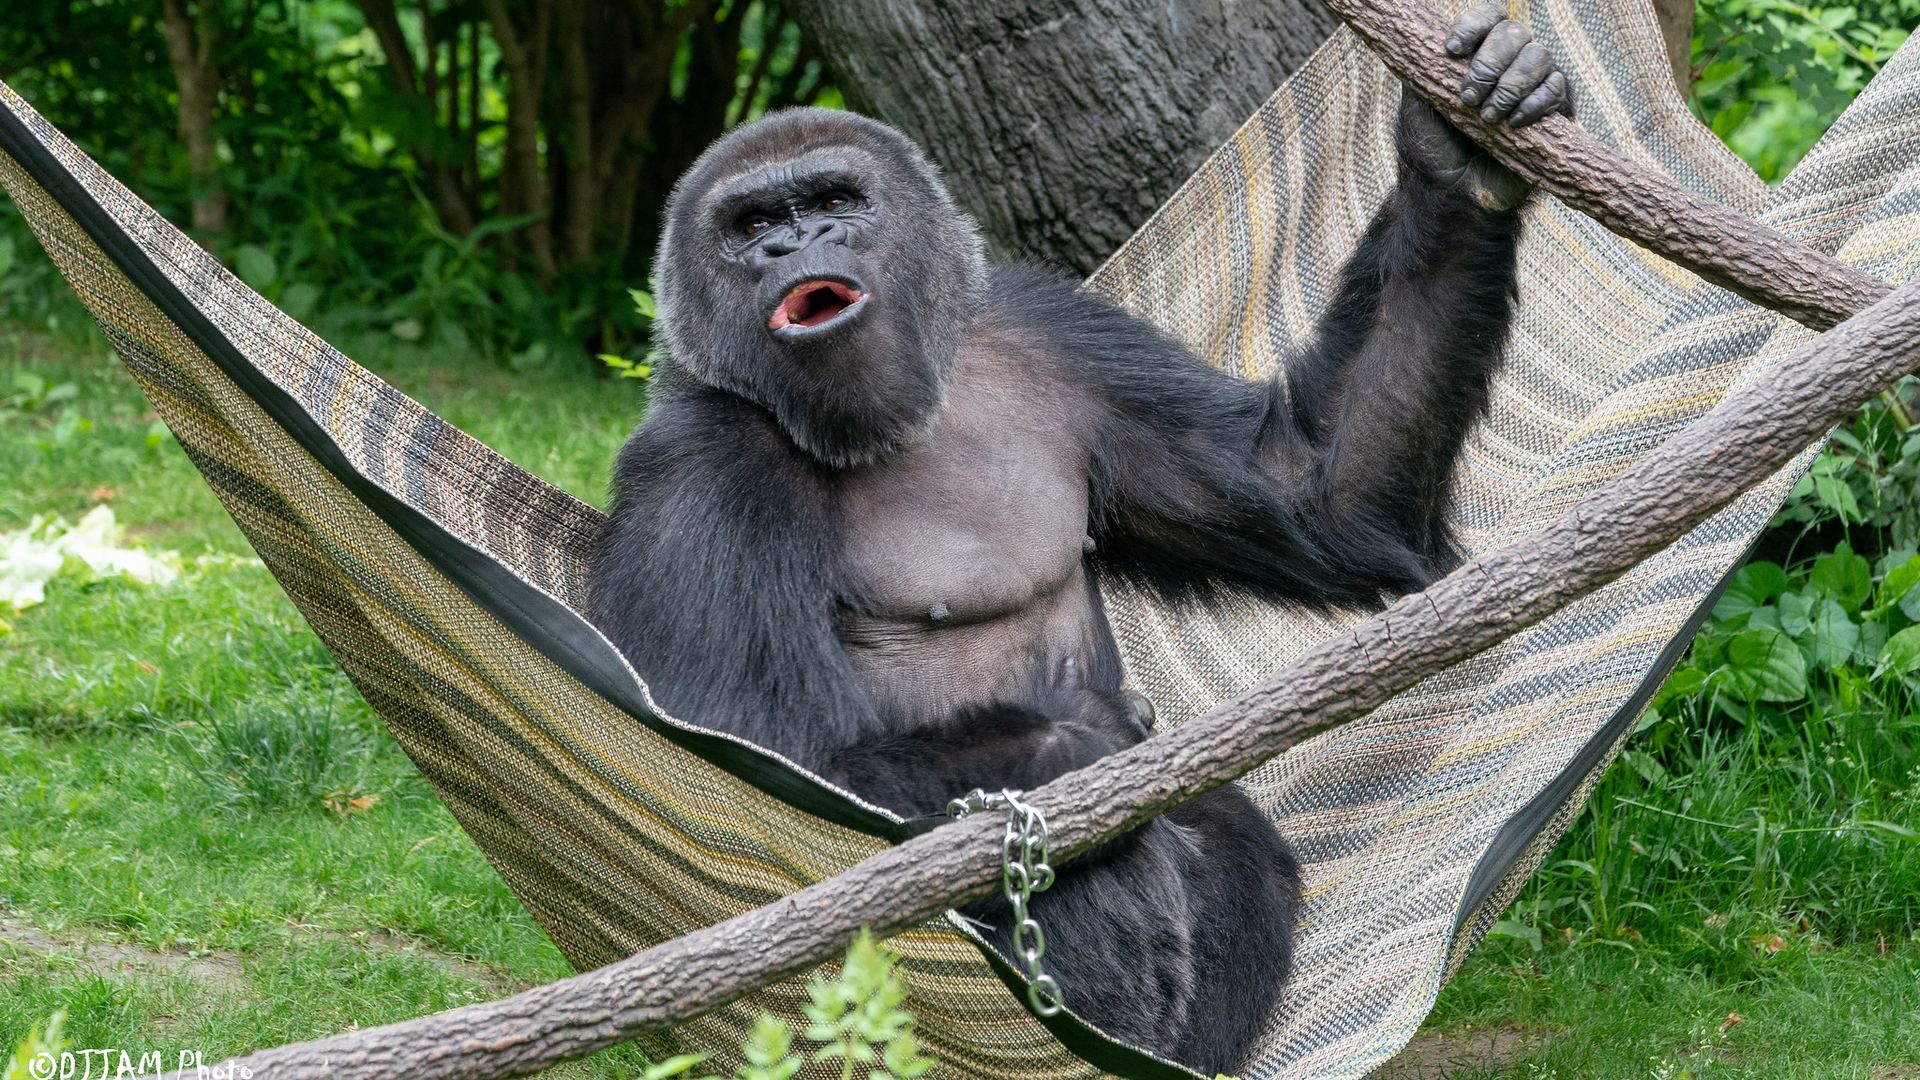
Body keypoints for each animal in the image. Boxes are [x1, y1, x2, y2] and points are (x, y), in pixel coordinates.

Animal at [587, 4, 1572, 1072]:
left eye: (832, 200)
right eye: (752, 226)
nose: (793, 246)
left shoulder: (1046, 327)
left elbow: (1318, 492)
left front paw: (1453, 160)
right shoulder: (698, 460)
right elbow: (759, 748)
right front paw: (1084, 738)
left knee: (1226, 832)